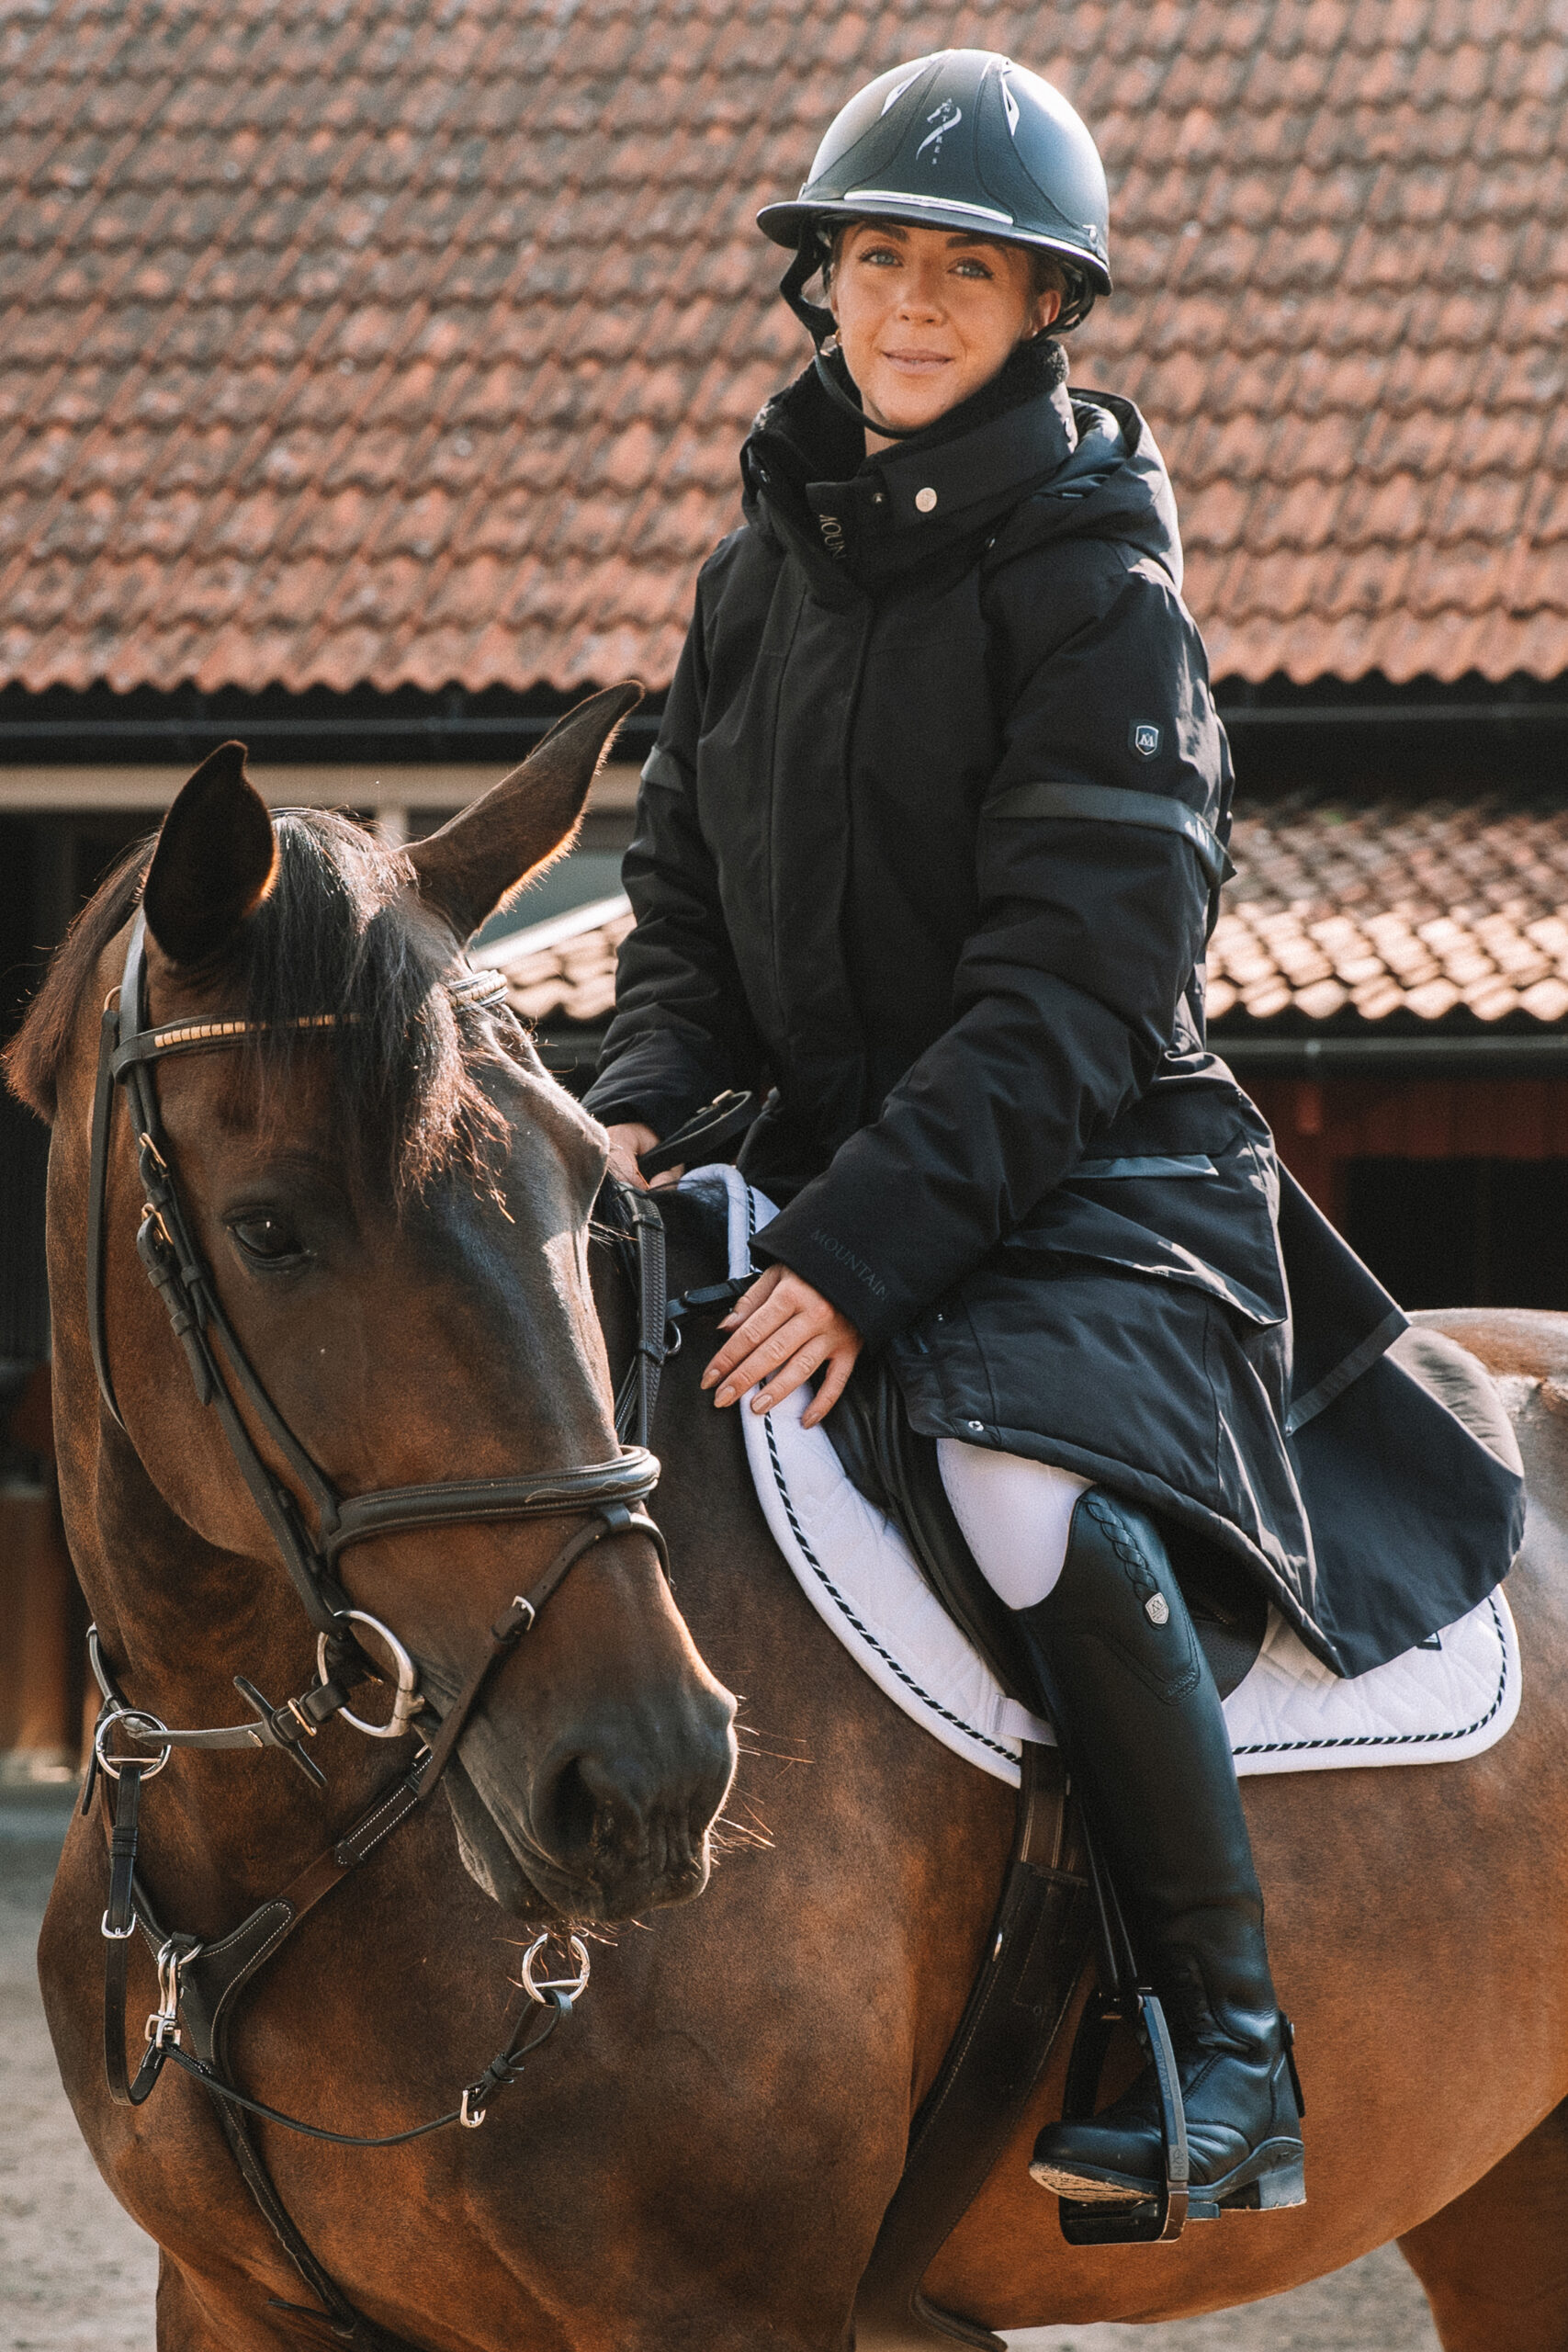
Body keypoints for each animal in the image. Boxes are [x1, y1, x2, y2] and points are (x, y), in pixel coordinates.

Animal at [10, 694, 1568, 2352]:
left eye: (582, 1196)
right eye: (268, 1228)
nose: (644, 1783)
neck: (259, 1829)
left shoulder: (727, 2308)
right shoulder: (229, 2301)